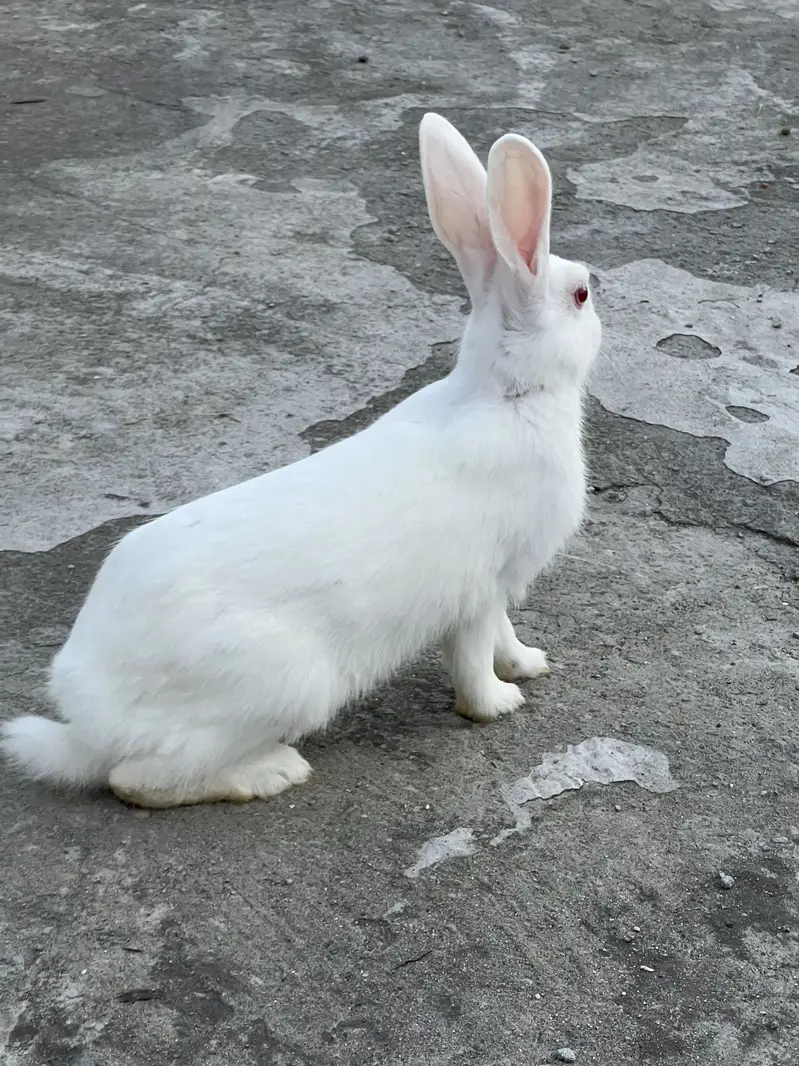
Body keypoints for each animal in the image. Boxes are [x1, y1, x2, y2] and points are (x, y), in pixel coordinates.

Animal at [1, 113, 601, 809]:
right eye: (580, 295)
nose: (600, 306)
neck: (509, 393)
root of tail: (88, 723)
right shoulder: (478, 588)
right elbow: (474, 659)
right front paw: (499, 703)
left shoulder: (500, 588)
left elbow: (505, 634)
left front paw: (530, 664)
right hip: (294, 683)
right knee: (140, 781)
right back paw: (273, 771)